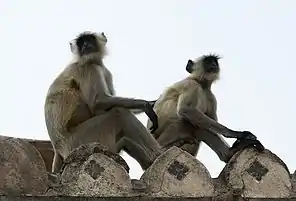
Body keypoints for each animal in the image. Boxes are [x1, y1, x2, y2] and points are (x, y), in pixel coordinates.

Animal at [44, 31, 162, 173]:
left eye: (89, 39)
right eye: (81, 42)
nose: (85, 45)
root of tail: (58, 150)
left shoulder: (105, 71)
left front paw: (153, 102)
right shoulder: (89, 68)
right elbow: (97, 103)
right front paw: (145, 105)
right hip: (84, 139)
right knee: (119, 113)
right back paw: (157, 156)